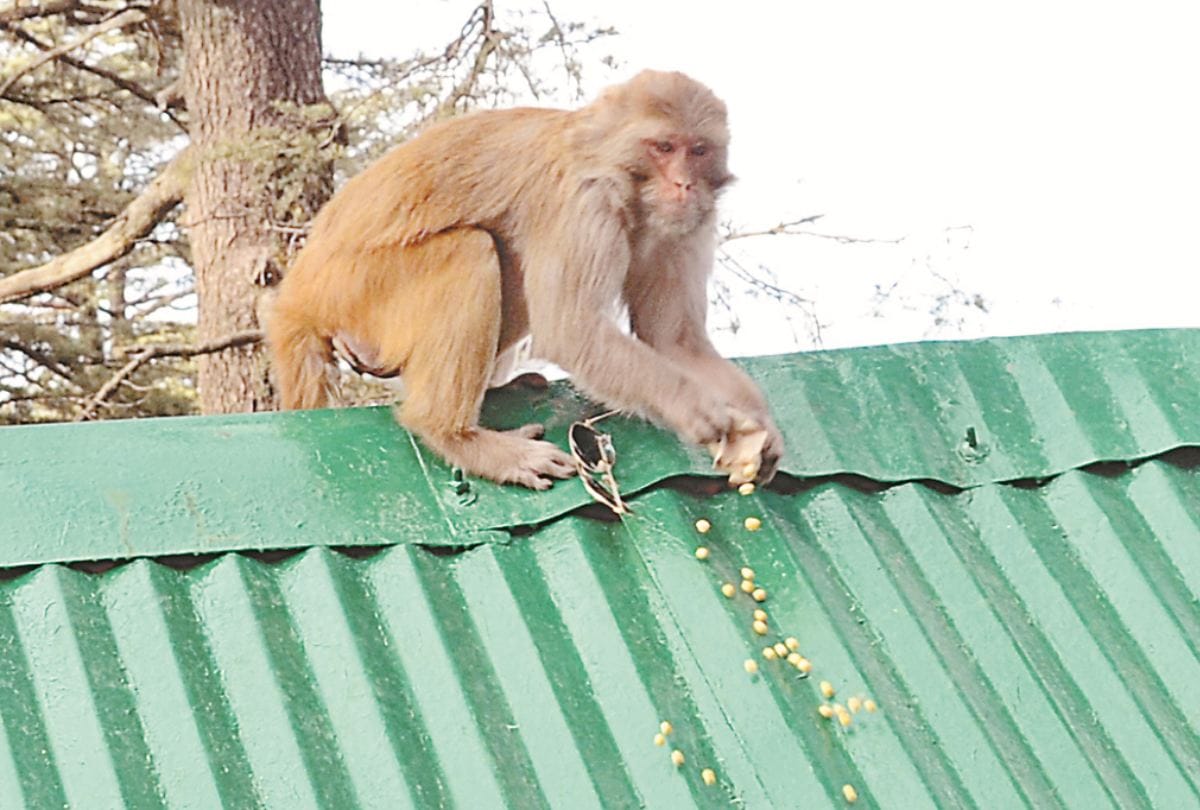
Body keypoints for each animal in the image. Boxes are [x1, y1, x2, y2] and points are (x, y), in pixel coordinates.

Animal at [266, 69, 783, 490]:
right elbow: (571, 328)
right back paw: (454, 435)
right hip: (353, 290)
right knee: (473, 250)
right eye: (663, 148)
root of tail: (297, 294)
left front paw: (761, 429)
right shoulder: (583, 204)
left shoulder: (687, 225)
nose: (684, 185)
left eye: (698, 150)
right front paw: (691, 407)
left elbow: (673, 339)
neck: (628, 190)